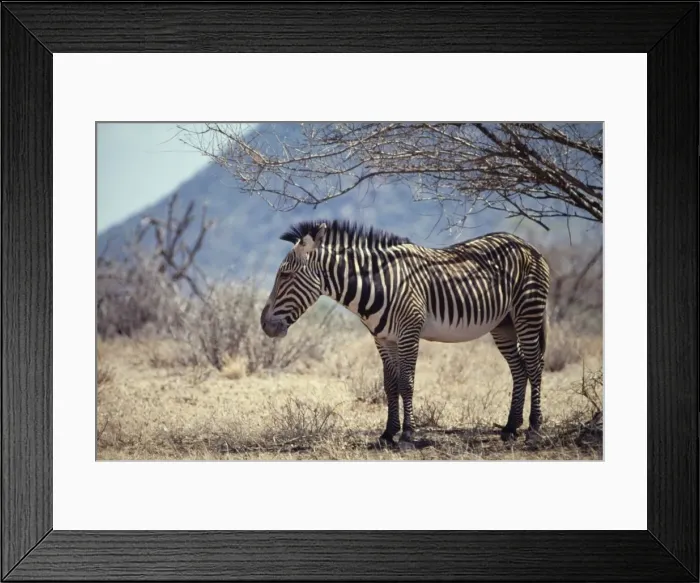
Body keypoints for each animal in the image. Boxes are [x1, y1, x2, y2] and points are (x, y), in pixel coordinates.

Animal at [260, 219, 551, 448]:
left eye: (285, 275)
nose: (264, 324)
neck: (379, 284)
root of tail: (526, 244)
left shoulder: (410, 332)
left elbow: (406, 383)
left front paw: (408, 434)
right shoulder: (383, 339)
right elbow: (390, 385)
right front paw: (388, 434)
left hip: (528, 311)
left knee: (534, 366)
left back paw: (534, 428)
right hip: (503, 324)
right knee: (519, 369)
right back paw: (510, 428)